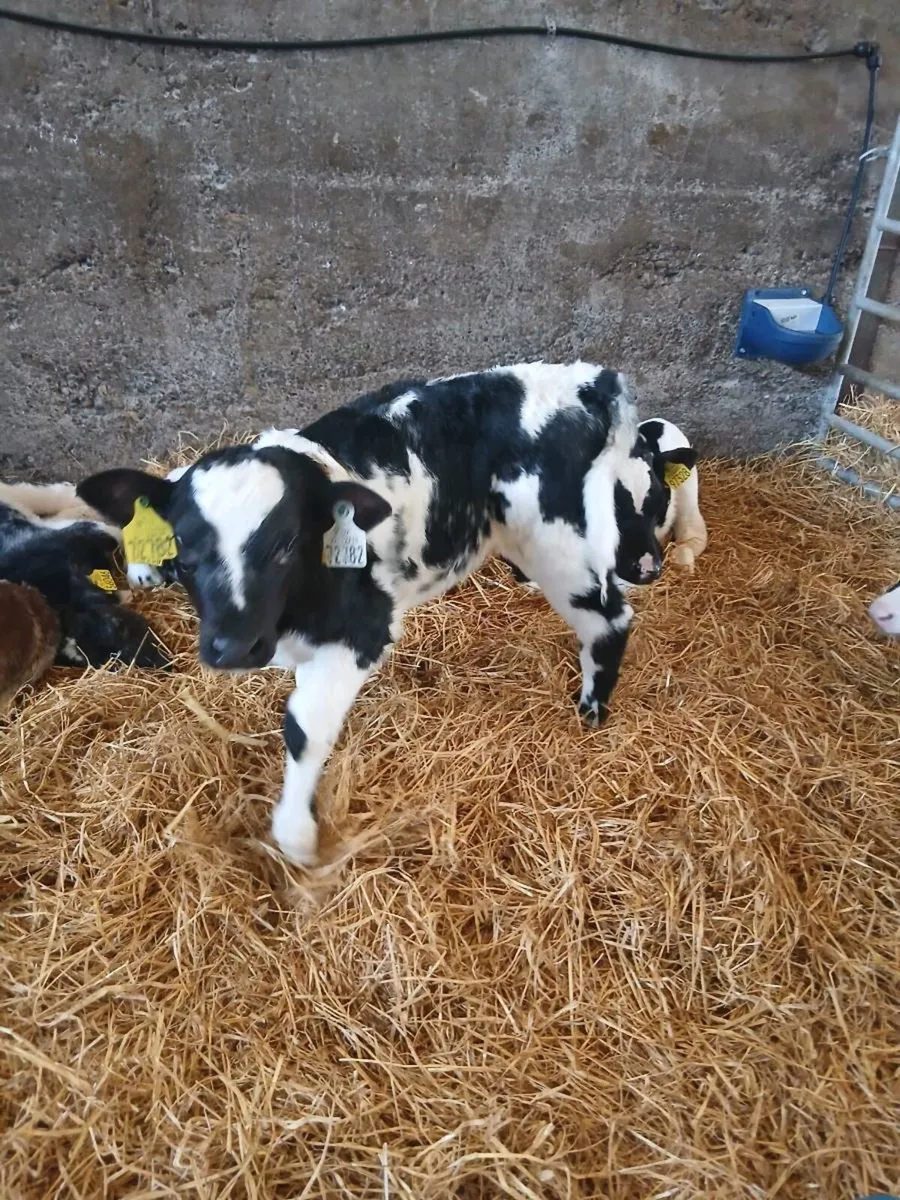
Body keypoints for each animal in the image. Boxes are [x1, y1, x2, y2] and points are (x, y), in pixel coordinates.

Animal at [78, 362, 694, 866]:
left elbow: (303, 727)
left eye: (286, 543)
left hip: (561, 540)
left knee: (608, 619)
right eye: (182, 548)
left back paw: (590, 711)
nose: (231, 648)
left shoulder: (362, 631)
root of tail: (589, 381)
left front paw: (299, 840)